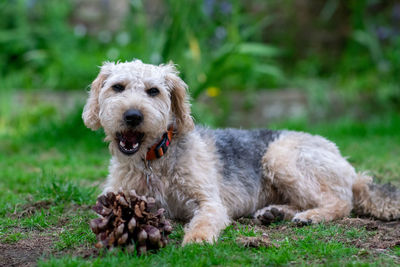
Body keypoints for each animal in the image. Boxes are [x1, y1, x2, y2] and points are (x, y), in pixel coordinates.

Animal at [82, 59, 400, 246]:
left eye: (153, 91)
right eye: (118, 87)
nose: (133, 116)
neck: (153, 161)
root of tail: (349, 168)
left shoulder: (209, 202)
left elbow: (204, 221)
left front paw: (196, 239)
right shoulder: (114, 194)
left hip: (280, 157)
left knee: (341, 203)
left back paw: (309, 217)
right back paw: (275, 212)